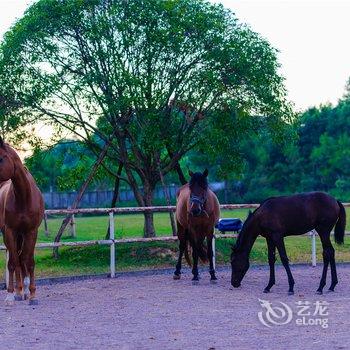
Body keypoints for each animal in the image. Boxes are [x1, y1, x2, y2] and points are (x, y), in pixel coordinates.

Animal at [0, 137, 43, 304]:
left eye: (1, 158)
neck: (24, 197)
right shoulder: (10, 231)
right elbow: (13, 263)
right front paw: (11, 295)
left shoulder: (31, 231)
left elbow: (28, 261)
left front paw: (32, 295)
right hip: (10, 234)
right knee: (16, 260)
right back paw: (18, 292)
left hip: (21, 235)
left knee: (21, 258)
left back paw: (23, 291)